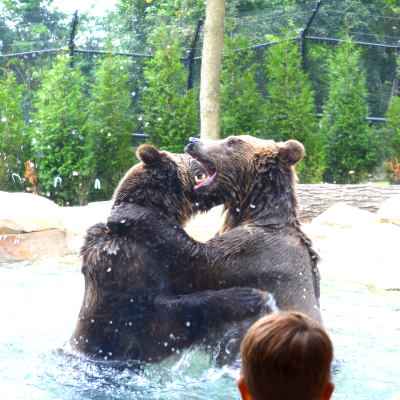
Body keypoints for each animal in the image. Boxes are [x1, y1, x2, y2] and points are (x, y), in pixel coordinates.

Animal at [108, 135, 324, 362]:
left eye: (232, 141)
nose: (193, 139)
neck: (255, 212)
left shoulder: (257, 252)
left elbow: (198, 263)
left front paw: (127, 212)